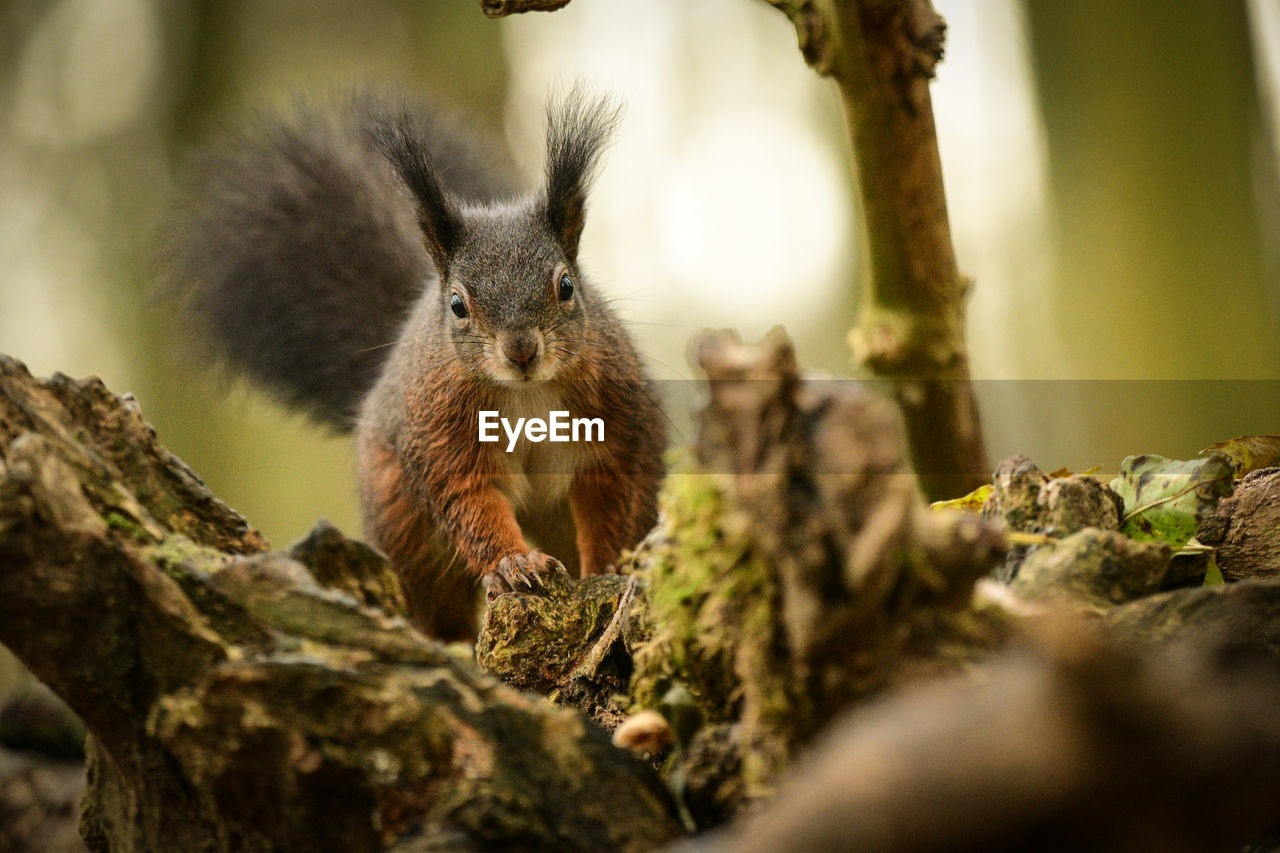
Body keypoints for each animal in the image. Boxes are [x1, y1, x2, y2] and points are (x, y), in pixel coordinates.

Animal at [168, 91, 665, 637]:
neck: (526, 392)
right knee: (437, 602)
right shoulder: (438, 430)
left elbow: (610, 499)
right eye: (458, 305)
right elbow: (469, 500)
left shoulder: (614, 419)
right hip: (404, 524)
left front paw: (607, 567)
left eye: (567, 286)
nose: (521, 350)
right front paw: (514, 564)